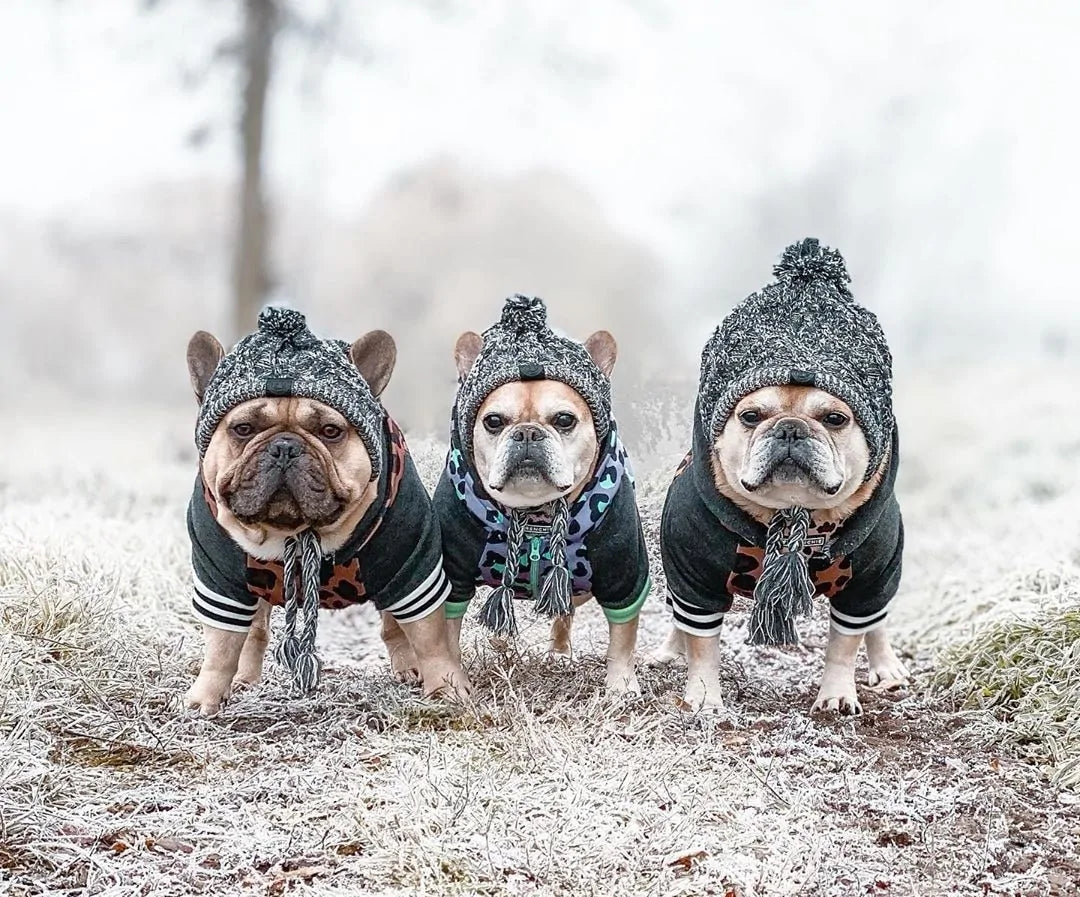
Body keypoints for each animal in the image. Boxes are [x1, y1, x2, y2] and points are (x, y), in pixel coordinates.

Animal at [182, 308, 468, 716]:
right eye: (243, 428)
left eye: (331, 431)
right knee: (254, 629)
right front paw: (205, 698)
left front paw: (446, 688)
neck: (295, 531)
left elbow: (429, 637)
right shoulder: (219, 581)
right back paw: (244, 678)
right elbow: (222, 644)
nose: (285, 446)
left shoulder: (413, 567)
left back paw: (408, 667)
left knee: (394, 624)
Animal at [429, 293, 648, 695]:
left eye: (564, 420)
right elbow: (446, 632)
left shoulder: (623, 573)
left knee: (565, 610)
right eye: (493, 421)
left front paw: (621, 685)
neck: (536, 514)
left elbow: (623, 635)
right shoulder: (454, 576)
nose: (528, 433)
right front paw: (452, 682)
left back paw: (559, 653)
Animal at [652, 238, 907, 716]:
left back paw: (887, 667)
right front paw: (704, 696)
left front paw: (837, 695)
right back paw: (669, 650)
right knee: (681, 620)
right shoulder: (693, 576)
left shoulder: (867, 581)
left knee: (877, 621)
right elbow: (702, 642)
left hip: (884, 578)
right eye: (751, 416)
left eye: (835, 418)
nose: (790, 428)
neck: (791, 515)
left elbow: (845, 644)